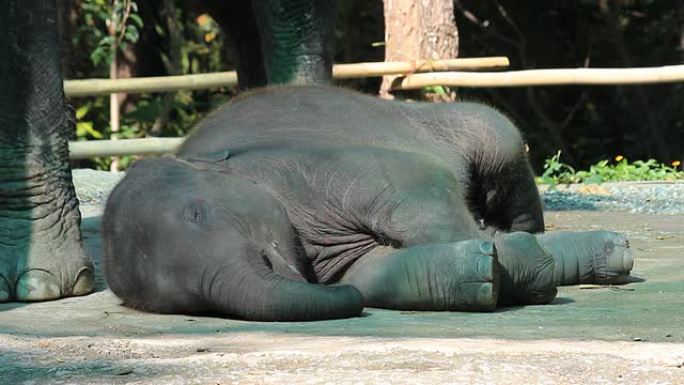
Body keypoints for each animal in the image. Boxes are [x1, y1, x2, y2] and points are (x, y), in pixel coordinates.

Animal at [103, 85, 636, 320]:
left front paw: (510, 258)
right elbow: (370, 273)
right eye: (186, 302)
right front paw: (487, 270)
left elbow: (419, 187)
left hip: (473, 130)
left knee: (502, 153)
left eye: (198, 213)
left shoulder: (319, 163)